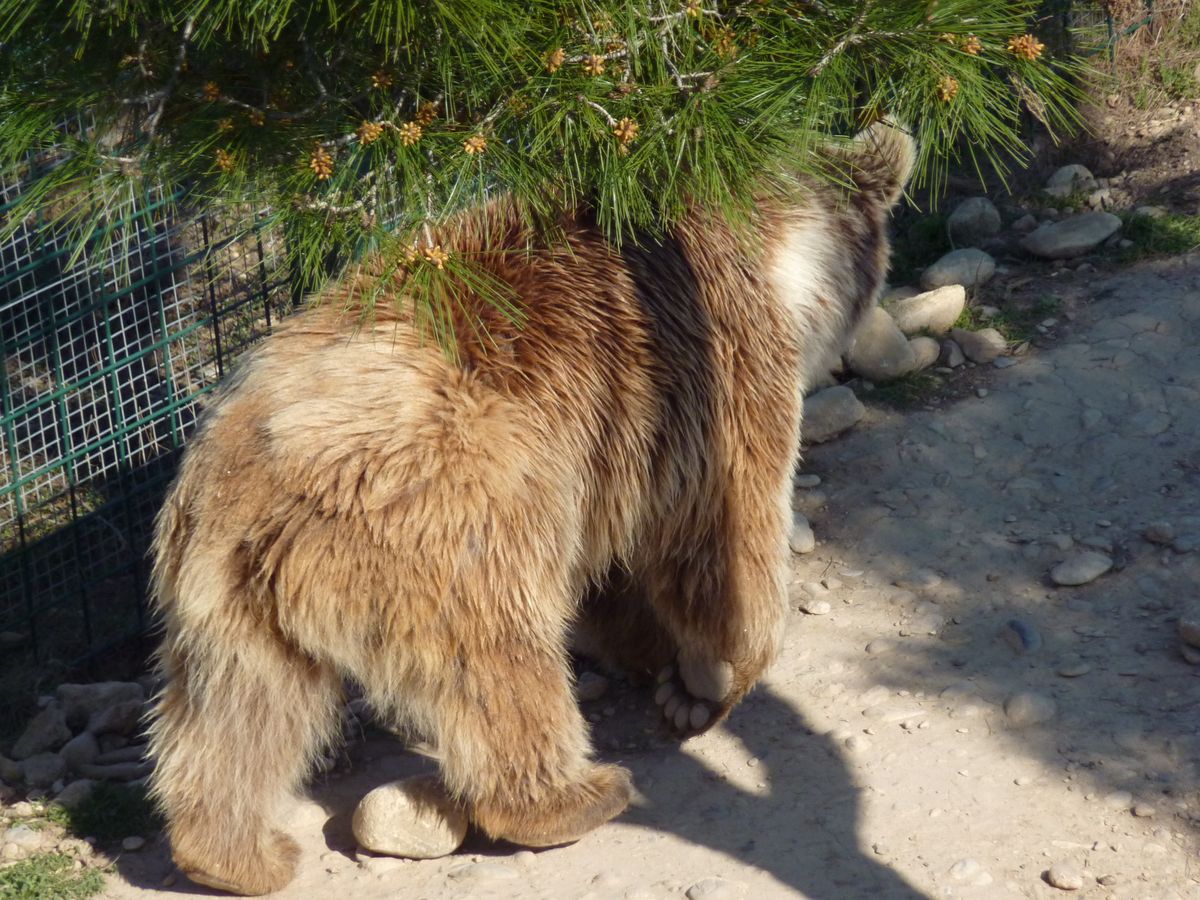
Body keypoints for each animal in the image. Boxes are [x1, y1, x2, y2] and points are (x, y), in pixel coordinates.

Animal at [145, 120, 912, 897]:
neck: (779, 258)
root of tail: (267, 470)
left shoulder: (608, 461)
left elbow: (617, 575)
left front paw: (654, 653)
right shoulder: (714, 367)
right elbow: (725, 531)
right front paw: (709, 682)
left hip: (221, 584)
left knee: (240, 710)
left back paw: (236, 853)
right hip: (458, 512)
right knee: (499, 664)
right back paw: (575, 796)